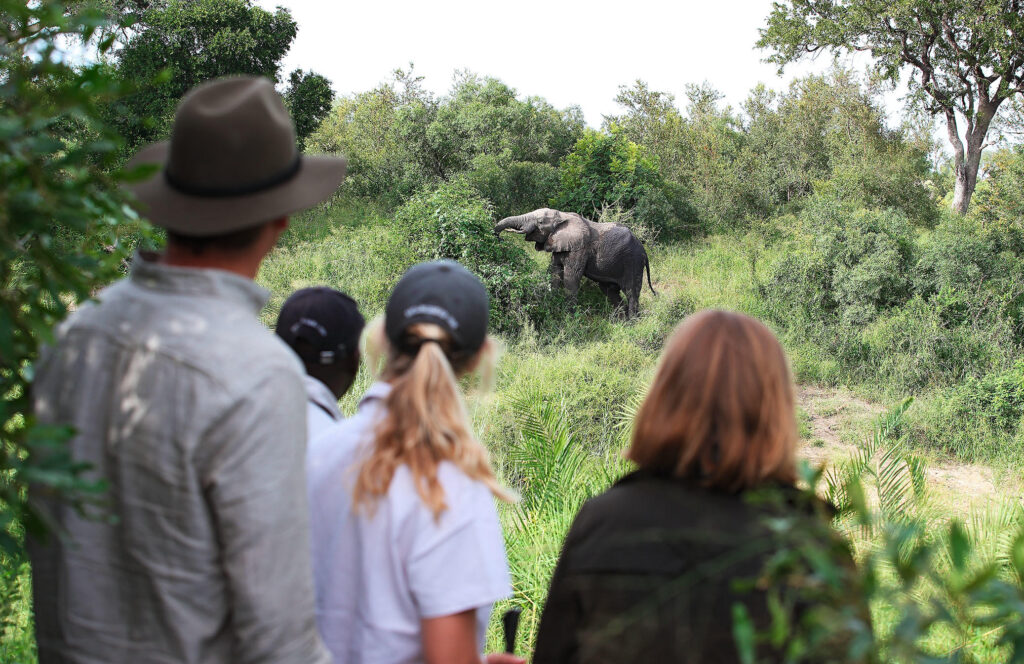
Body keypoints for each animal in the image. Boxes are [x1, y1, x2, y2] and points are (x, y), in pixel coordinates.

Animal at [493, 209, 655, 319]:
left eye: (540, 222)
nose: (500, 238)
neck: (563, 216)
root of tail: (644, 251)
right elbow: (554, 272)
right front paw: (552, 304)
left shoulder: (579, 249)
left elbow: (571, 278)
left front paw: (568, 317)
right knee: (611, 291)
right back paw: (621, 321)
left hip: (633, 262)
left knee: (631, 292)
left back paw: (632, 323)